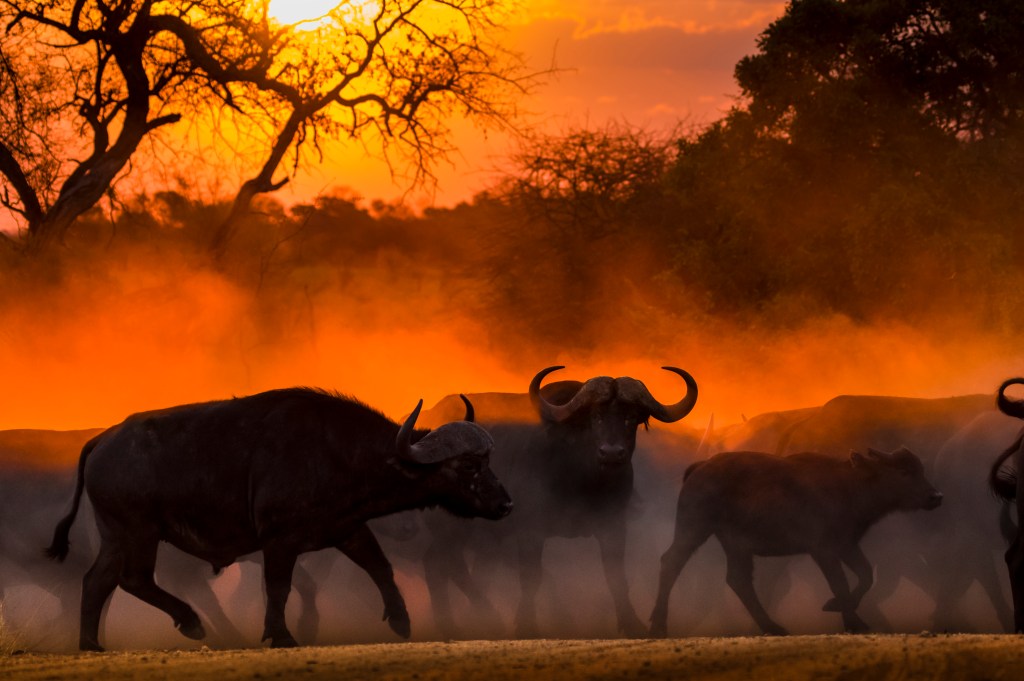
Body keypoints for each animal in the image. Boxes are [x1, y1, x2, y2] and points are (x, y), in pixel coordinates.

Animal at [46, 387, 512, 647]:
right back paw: (190, 622)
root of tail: (103, 440)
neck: (337, 451)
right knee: (131, 579)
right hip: (138, 532)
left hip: (116, 536)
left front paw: (401, 621)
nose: (505, 504)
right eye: (469, 465)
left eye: (489, 461)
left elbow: (381, 567)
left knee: (99, 581)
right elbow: (279, 587)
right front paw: (281, 635)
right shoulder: (279, 541)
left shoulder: (348, 528)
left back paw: (92, 643)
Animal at [421, 366, 696, 639]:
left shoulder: (614, 526)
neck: (582, 478)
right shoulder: (530, 531)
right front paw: (527, 625)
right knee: (443, 563)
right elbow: (532, 577)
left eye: (631, 417)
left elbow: (616, 576)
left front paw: (633, 624)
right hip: (450, 526)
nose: (611, 453)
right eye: (595, 417)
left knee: (443, 563)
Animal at [655, 448, 942, 634]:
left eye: (920, 469)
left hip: (736, 545)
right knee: (671, 562)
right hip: (693, 530)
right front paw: (850, 620)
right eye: (903, 471)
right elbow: (840, 582)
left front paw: (843, 612)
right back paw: (658, 626)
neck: (848, 483)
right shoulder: (823, 550)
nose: (936, 496)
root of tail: (700, 467)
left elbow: (865, 574)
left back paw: (774, 627)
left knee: (738, 579)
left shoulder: (847, 545)